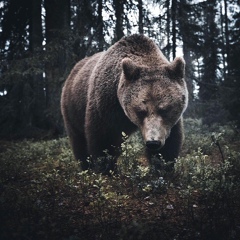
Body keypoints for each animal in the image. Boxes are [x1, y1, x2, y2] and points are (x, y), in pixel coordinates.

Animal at [61, 34, 188, 172]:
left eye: (164, 109)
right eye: (141, 111)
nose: (153, 142)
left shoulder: (170, 123)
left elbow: (170, 143)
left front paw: (163, 166)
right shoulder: (106, 106)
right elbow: (103, 139)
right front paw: (106, 168)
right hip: (73, 107)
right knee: (79, 140)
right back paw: (86, 166)